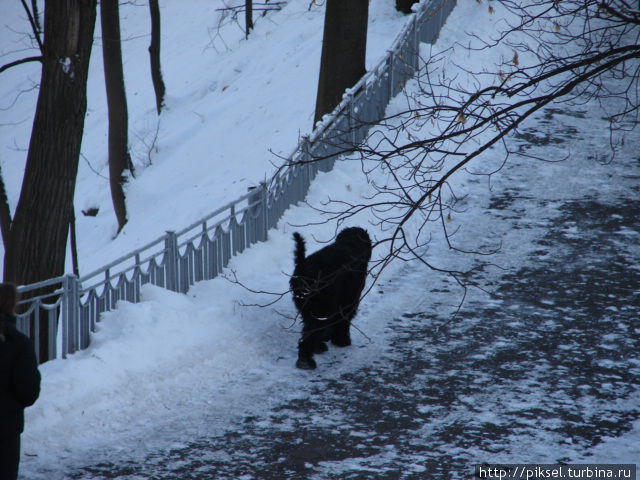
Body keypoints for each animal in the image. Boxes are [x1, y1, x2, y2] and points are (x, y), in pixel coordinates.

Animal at [288, 227, 372, 370]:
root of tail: (303, 268)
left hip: (309, 307)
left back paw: (316, 349)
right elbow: (343, 321)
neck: (350, 244)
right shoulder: (348, 301)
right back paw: (306, 361)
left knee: (309, 329)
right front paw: (342, 341)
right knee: (310, 334)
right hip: (322, 308)